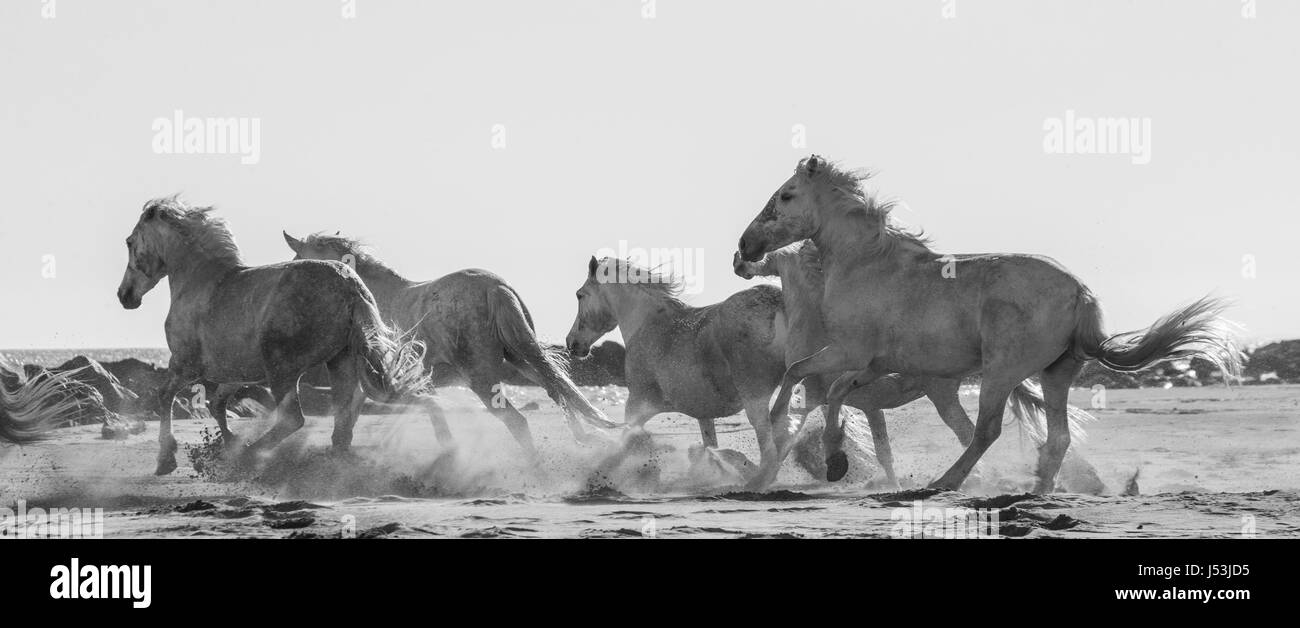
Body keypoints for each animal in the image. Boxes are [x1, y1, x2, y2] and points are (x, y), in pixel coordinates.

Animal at [118, 198, 431, 473]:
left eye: (129, 242)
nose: (125, 296)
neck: (201, 282)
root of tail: (351, 286)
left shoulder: (185, 364)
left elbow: (165, 395)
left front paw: (166, 459)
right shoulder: (235, 371)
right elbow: (217, 404)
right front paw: (228, 442)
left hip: (282, 369)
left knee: (293, 419)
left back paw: (248, 457)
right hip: (339, 363)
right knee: (342, 422)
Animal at [284, 230, 618, 457]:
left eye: (298, 261)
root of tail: (495, 288)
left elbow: (350, 412)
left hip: (482, 378)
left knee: (519, 421)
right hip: (520, 358)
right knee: (558, 390)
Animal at [738, 241, 1092, 486]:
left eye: (774, 258)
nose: (740, 261)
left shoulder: (814, 396)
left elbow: (785, 436)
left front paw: (759, 480)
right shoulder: (864, 404)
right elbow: (882, 450)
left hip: (943, 394)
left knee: (971, 434)